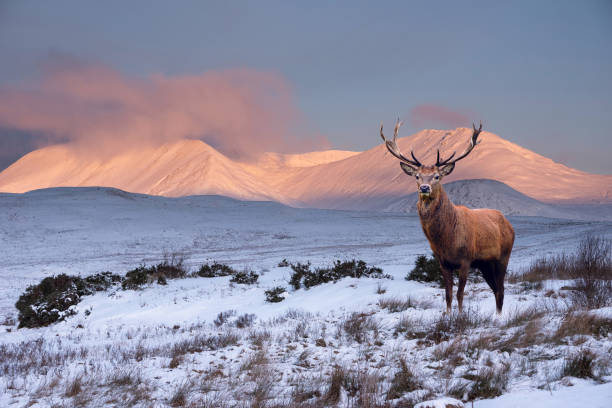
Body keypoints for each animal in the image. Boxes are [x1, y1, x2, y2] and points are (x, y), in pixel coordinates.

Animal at [380, 119, 512, 314]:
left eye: (437, 176)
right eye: (417, 176)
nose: (424, 188)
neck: (446, 240)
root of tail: (509, 223)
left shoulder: (466, 259)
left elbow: (460, 294)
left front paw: (460, 317)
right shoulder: (443, 262)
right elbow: (448, 294)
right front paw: (448, 316)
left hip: (504, 255)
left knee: (501, 289)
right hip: (485, 264)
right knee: (496, 289)